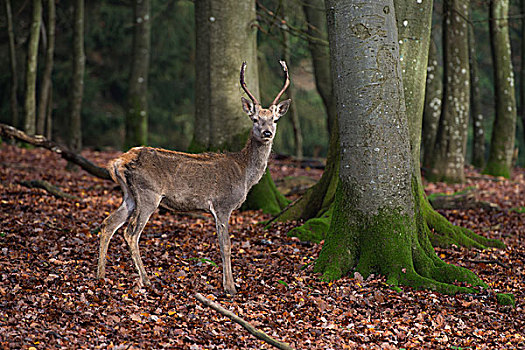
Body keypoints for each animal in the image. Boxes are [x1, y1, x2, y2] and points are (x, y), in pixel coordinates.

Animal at [96, 61, 288, 294]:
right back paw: (146, 280)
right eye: (255, 119)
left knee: (109, 223)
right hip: (148, 193)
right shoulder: (223, 204)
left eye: (274, 119)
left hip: (130, 195)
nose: (267, 132)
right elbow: (226, 245)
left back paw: (101, 275)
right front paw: (230, 287)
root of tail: (118, 162)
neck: (244, 175)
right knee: (131, 232)